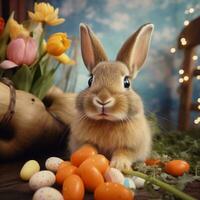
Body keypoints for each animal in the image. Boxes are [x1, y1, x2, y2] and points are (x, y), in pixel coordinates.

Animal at [69, 23, 155, 170]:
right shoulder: (81, 140)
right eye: (90, 80)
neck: (107, 121)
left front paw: (119, 165)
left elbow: (123, 152)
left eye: (127, 82)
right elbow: (89, 147)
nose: (103, 100)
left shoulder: (133, 147)